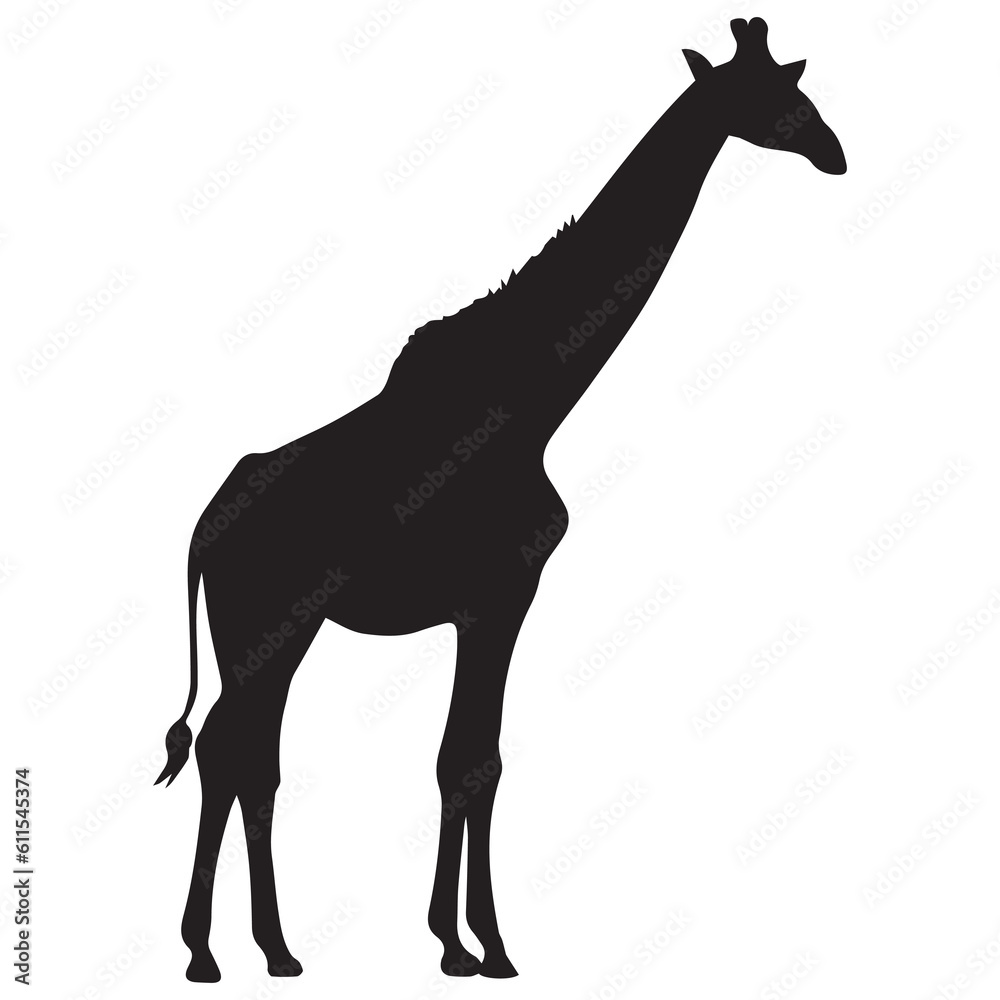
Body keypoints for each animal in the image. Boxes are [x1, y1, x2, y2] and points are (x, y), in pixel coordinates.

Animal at [155, 17, 845, 983]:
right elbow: (471, 761)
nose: (835, 152)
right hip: (267, 623)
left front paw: (465, 940)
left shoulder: (488, 603)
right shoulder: (501, 593)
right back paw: (211, 955)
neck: (536, 401)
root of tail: (202, 532)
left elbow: (474, 757)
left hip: (276, 630)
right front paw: (476, 946)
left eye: (798, 84)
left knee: (246, 755)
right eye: (771, 93)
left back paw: (271, 950)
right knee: (233, 750)